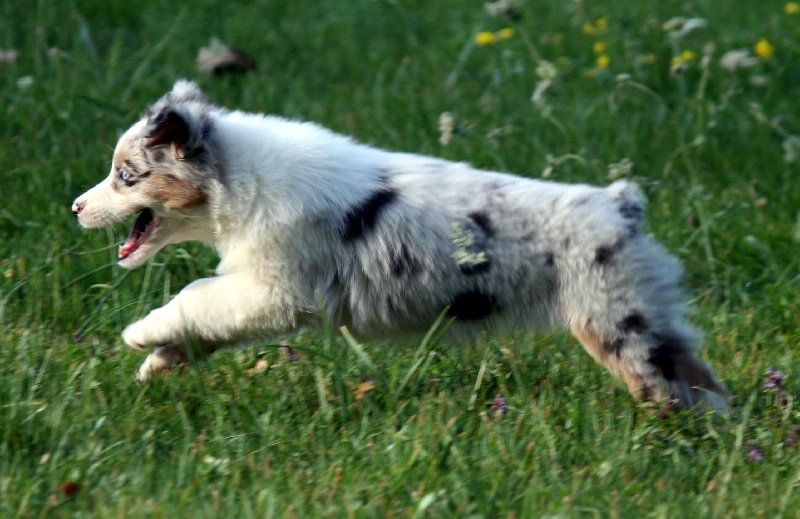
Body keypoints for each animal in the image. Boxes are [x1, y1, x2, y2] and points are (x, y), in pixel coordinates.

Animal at [72, 80, 728, 411]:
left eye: (125, 176)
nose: (75, 207)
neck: (237, 175)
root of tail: (621, 205)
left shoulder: (274, 291)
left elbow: (195, 295)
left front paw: (140, 334)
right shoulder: (258, 292)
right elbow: (203, 318)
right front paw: (157, 363)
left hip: (619, 325)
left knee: (688, 384)